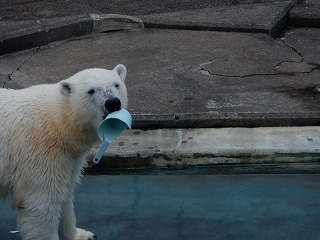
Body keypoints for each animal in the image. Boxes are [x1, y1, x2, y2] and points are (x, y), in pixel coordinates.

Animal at [0, 64, 127, 240]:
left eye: (116, 84)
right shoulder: (40, 154)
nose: (113, 103)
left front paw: (81, 234)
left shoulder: (69, 157)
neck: (59, 122)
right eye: (91, 91)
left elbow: (65, 194)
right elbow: (42, 205)